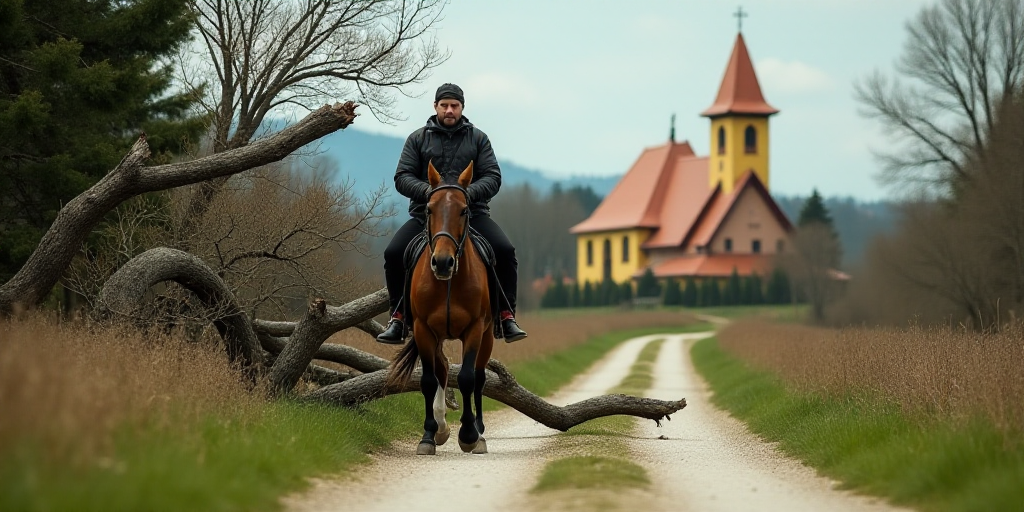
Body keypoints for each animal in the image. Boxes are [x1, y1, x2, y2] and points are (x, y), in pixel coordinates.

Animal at [385, 160, 494, 456]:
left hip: (489, 335)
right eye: (429, 209)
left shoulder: (474, 329)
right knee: (443, 369)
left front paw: (468, 434)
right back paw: (442, 428)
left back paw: (480, 434)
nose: (443, 262)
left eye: (464, 209)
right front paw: (428, 435)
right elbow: (428, 380)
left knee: (479, 376)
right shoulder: (423, 329)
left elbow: (467, 378)